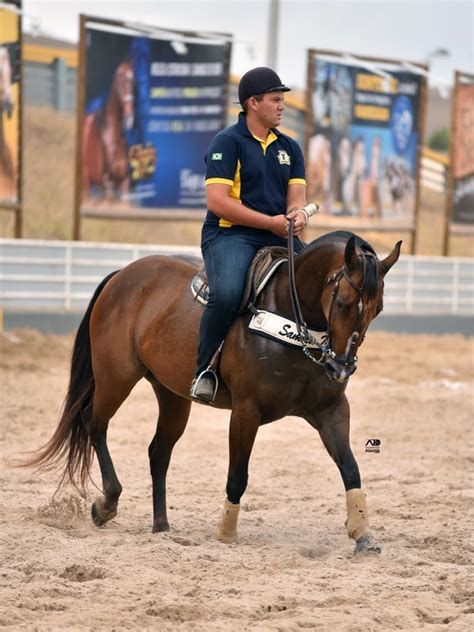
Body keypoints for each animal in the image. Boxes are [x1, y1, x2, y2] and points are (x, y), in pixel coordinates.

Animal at [21, 231, 400, 552]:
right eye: (344, 303)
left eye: (378, 309)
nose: (342, 367)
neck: (291, 320)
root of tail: (122, 275)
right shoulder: (246, 411)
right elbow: (238, 475)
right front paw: (226, 533)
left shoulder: (332, 409)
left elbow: (351, 468)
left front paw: (363, 534)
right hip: (116, 378)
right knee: (95, 425)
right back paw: (107, 504)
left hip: (172, 396)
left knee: (158, 452)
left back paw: (161, 527)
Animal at [82, 58, 135, 202]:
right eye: (121, 80)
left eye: (134, 82)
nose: (129, 115)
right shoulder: (107, 182)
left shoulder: (123, 181)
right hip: (86, 183)